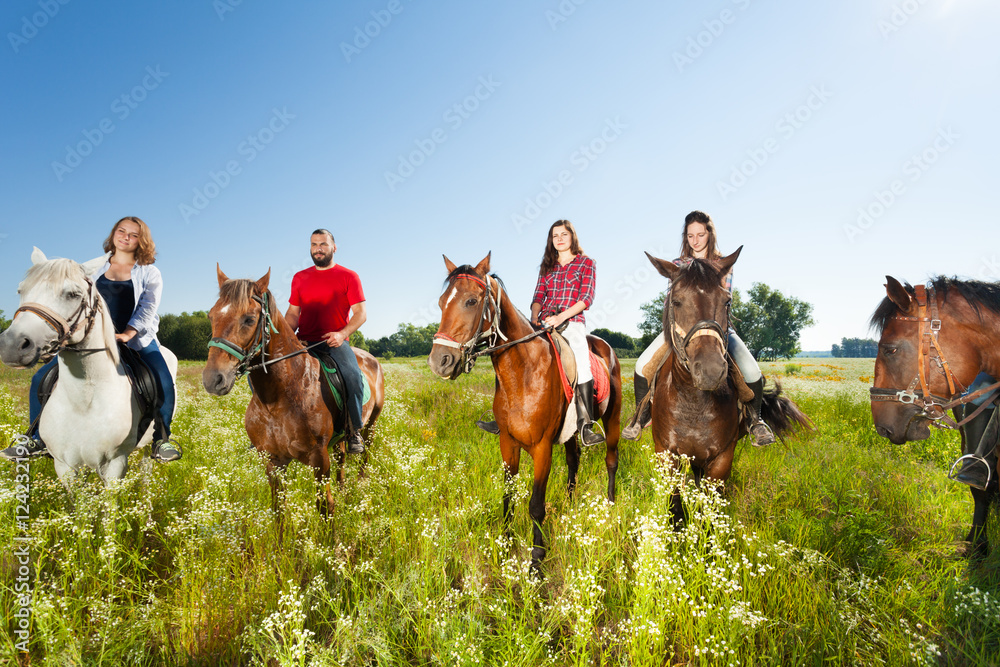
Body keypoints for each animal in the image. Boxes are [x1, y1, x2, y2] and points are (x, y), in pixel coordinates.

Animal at [0, 250, 177, 486]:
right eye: (21, 290)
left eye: (73, 294)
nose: (11, 346)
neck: (85, 399)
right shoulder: (65, 466)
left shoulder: (115, 465)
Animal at [201, 268, 384, 516]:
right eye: (211, 316)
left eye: (249, 319)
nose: (213, 379)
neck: (278, 398)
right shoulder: (273, 462)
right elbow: (279, 509)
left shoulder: (319, 459)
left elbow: (325, 506)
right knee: (342, 457)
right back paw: (343, 488)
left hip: (371, 424)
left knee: (365, 454)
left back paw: (361, 483)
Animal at [428, 253, 620, 572]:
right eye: (442, 302)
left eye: (471, 301)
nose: (439, 361)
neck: (523, 372)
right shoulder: (507, 443)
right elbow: (507, 496)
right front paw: (505, 544)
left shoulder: (542, 448)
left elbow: (535, 505)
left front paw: (536, 561)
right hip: (571, 433)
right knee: (574, 461)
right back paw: (570, 506)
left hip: (613, 419)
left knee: (611, 461)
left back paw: (611, 504)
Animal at [648, 250, 812, 528]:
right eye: (676, 301)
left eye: (726, 301)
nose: (710, 371)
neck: (692, 402)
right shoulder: (667, 455)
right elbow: (675, 506)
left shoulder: (722, 459)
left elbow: (709, 510)